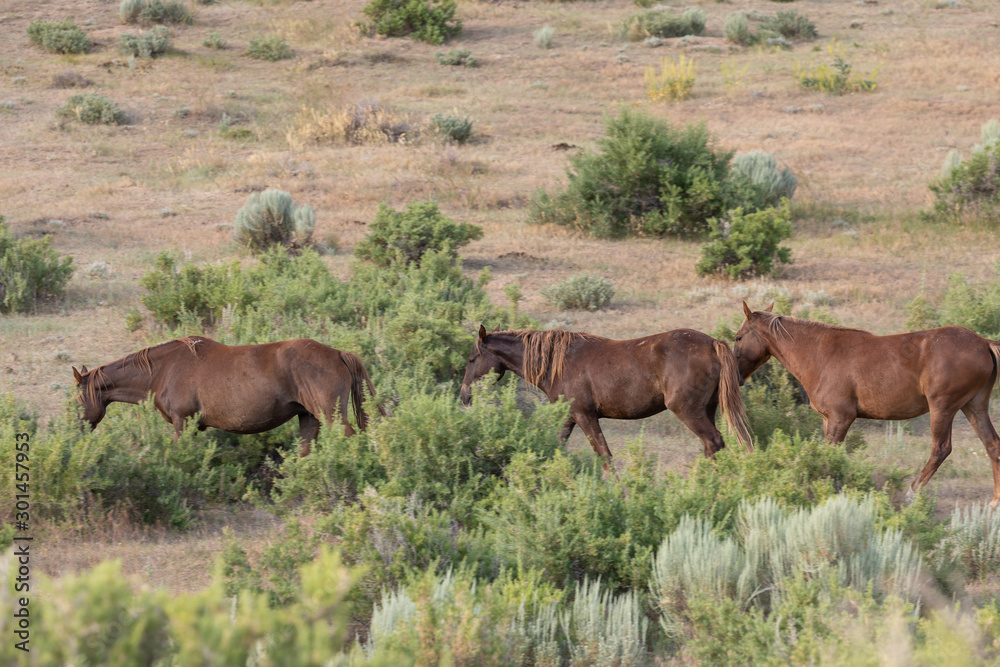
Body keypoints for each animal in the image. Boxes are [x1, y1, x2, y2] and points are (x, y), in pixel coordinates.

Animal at [72, 336, 384, 456]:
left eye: (77, 400)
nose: (78, 429)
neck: (165, 368)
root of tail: (338, 353)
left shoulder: (182, 423)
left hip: (330, 415)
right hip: (308, 417)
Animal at [460, 326, 752, 468]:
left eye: (472, 359)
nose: (463, 397)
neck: (559, 363)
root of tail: (714, 343)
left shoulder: (585, 416)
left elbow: (605, 456)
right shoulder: (569, 417)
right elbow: (555, 447)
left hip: (687, 411)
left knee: (713, 442)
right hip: (707, 410)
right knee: (710, 447)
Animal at [732, 302, 1000, 506]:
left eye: (738, 337)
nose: (736, 376)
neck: (819, 354)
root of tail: (983, 342)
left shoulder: (841, 418)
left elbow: (831, 455)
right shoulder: (828, 420)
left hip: (942, 408)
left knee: (941, 449)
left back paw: (911, 493)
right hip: (974, 406)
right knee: (992, 445)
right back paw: (995, 501)